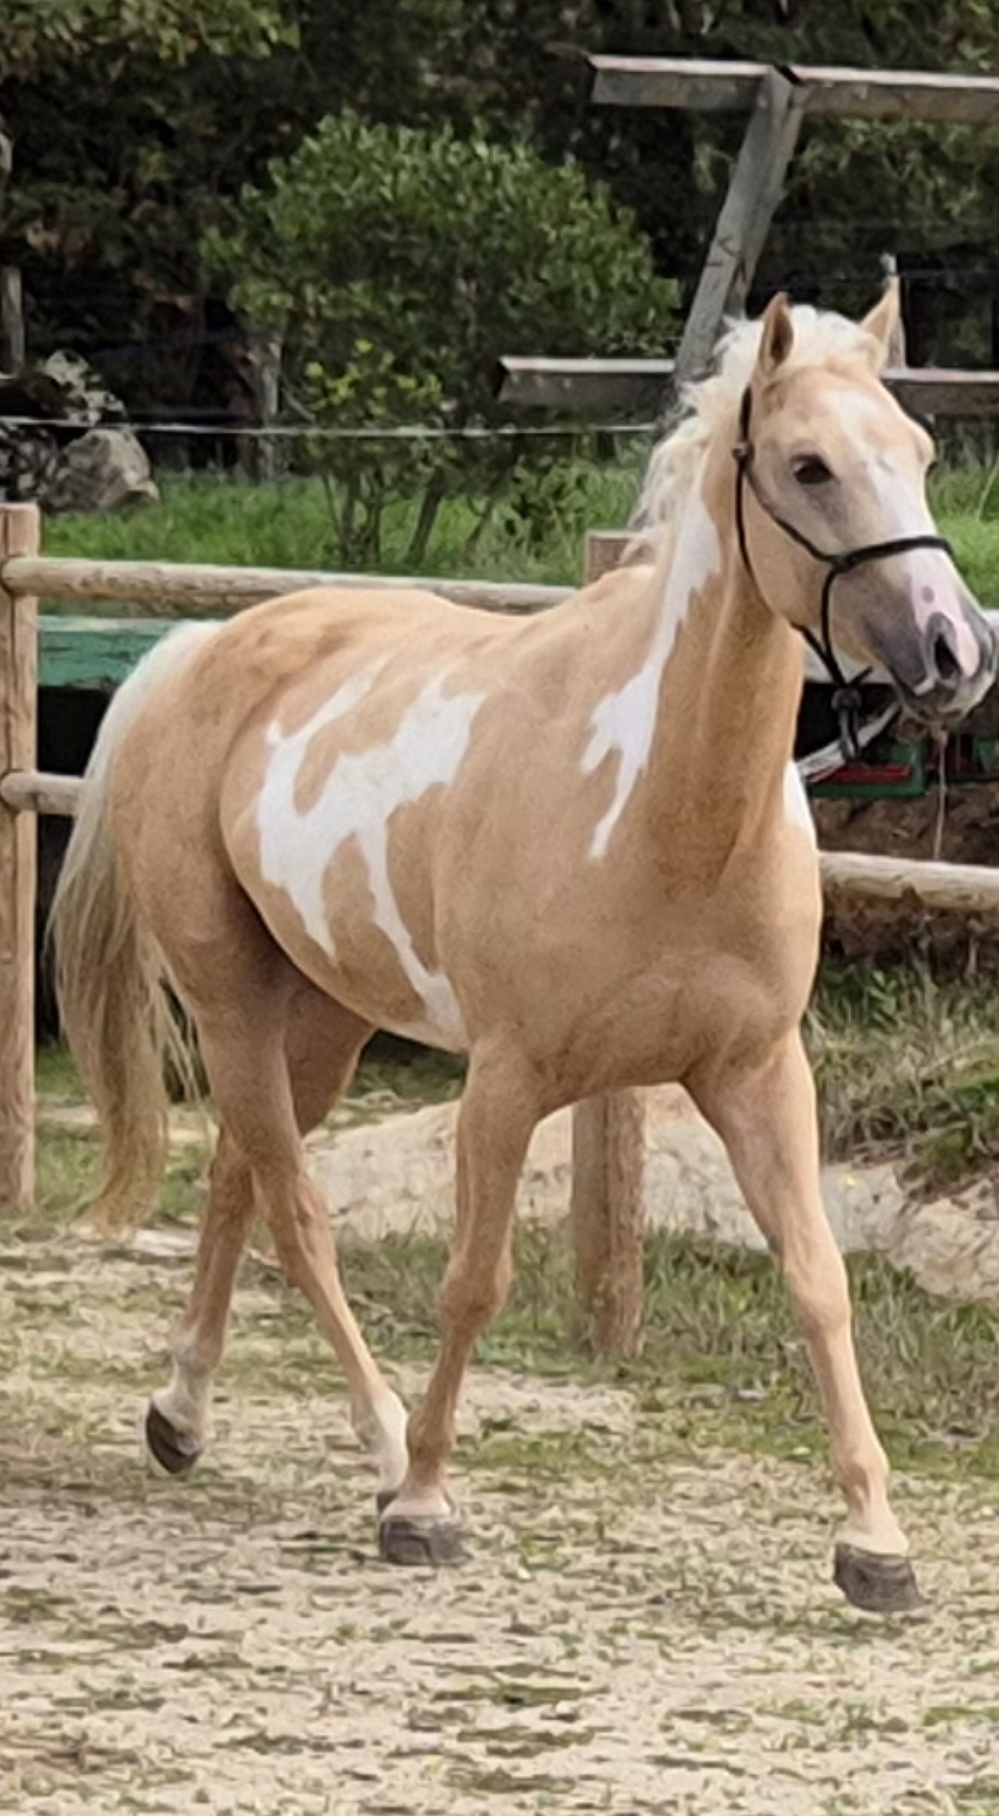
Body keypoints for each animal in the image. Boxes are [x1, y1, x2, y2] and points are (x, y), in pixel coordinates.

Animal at [52, 286, 996, 1612]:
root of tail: (203, 650)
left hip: (326, 1016)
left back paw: (184, 1413)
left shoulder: (758, 1073)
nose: (957, 652)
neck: (668, 813)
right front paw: (427, 1505)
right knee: (294, 1203)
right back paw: (381, 1444)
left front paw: (876, 1543)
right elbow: (474, 1279)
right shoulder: (505, 1082)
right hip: (232, 998)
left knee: (241, 1174)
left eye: (915, 452)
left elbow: (818, 1277)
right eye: (808, 465)